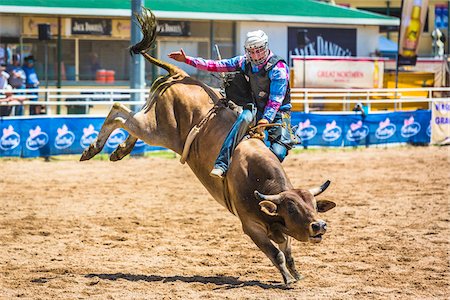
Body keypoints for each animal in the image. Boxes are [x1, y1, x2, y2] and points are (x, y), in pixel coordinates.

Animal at [80, 6, 334, 284]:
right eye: (292, 208)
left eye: (313, 205)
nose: (319, 225)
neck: (257, 179)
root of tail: (181, 74)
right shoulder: (250, 226)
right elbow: (274, 252)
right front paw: (287, 278)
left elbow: (286, 248)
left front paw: (296, 273)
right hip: (157, 130)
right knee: (118, 112)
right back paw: (92, 149)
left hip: (153, 121)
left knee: (129, 119)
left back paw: (120, 150)